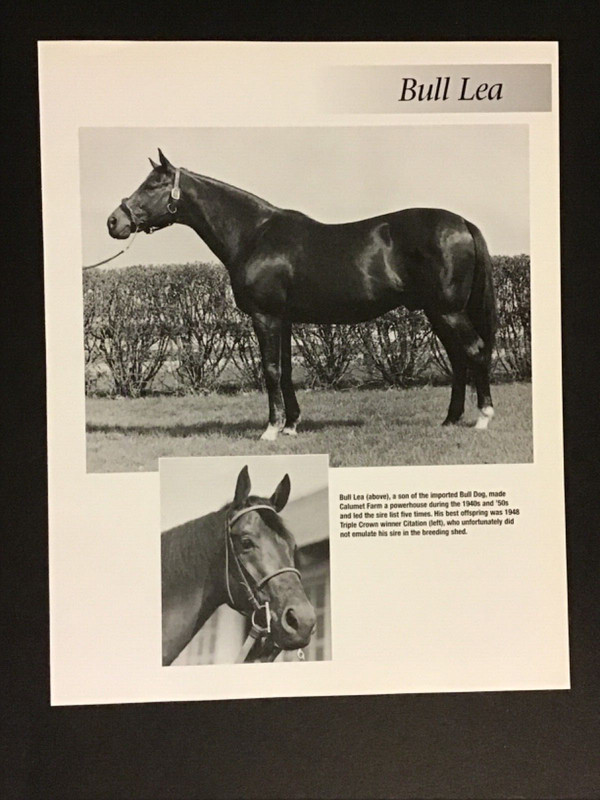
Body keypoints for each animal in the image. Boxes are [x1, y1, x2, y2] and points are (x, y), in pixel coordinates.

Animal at [108, 149, 497, 439]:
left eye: (153, 184)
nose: (114, 222)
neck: (254, 234)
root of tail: (462, 223)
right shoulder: (283, 319)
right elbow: (285, 370)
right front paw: (291, 425)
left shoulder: (265, 316)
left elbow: (269, 369)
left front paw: (270, 430)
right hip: (437, 311)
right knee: (459, 359)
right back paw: (450, 419)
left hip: (447, 310)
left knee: (475, 351)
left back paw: (483, 417)